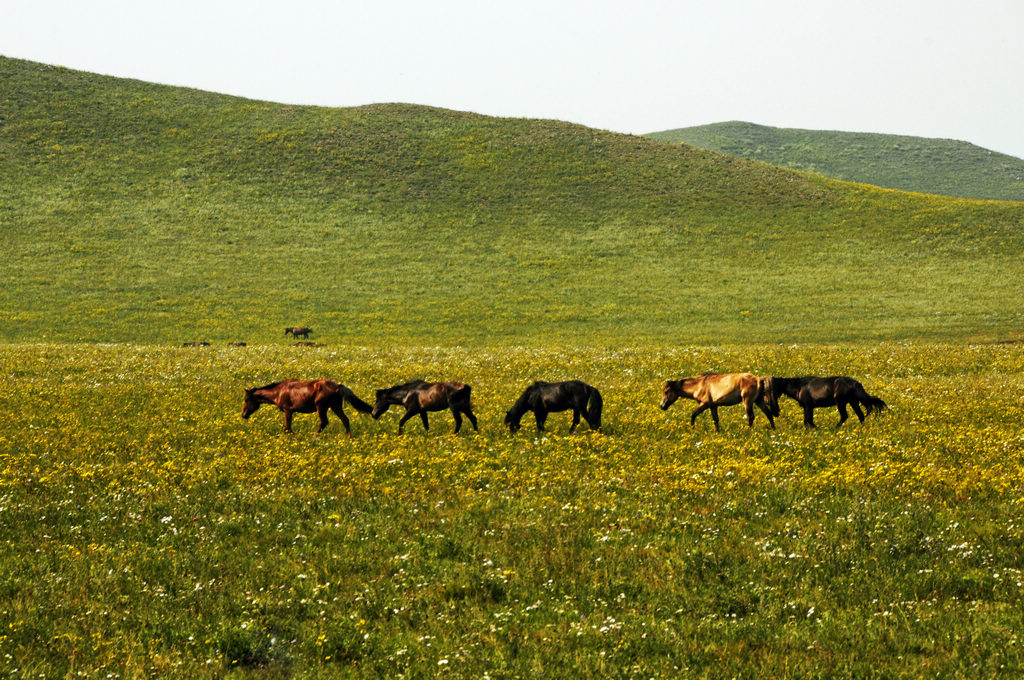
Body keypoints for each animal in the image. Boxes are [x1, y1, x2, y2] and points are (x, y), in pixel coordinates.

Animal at [241, 376, 374, 436]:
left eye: (246, 399)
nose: (243, 415)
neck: (279, 391)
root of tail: (338, 386)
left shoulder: (288, 410)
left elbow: (287, 427)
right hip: (335, 406)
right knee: (345, 419)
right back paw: (348, 437)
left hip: (322, 407)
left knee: (324, 422)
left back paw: (315, 435)